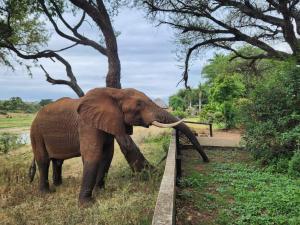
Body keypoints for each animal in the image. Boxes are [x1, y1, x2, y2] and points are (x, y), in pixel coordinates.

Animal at [29, 87, 209, 206]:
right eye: (139, 104)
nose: (206, 160)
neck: (115, 92)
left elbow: (107, 155)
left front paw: (101, 192)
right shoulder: (87, 124)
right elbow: (93, 155)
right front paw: (87, 204)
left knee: (57, 161)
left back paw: (59, 186)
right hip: (36, 132)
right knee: (43, 160)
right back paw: (46, 192)